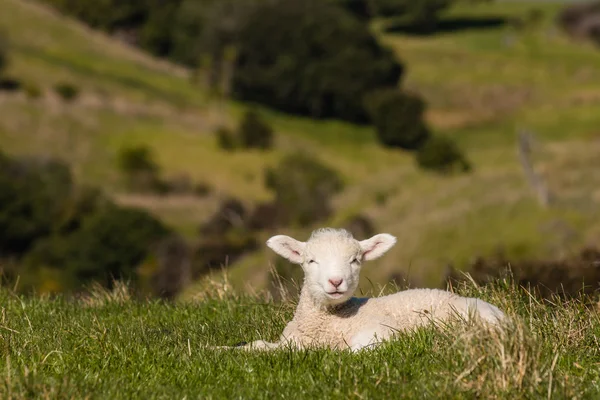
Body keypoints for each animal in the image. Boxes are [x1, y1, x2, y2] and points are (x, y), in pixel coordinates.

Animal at [218, 227, 504, 352]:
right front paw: (219, 350)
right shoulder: (291, 341)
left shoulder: (381, 332)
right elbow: (255, 346)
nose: (335, 281)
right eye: (311, 261)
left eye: (355, 260)